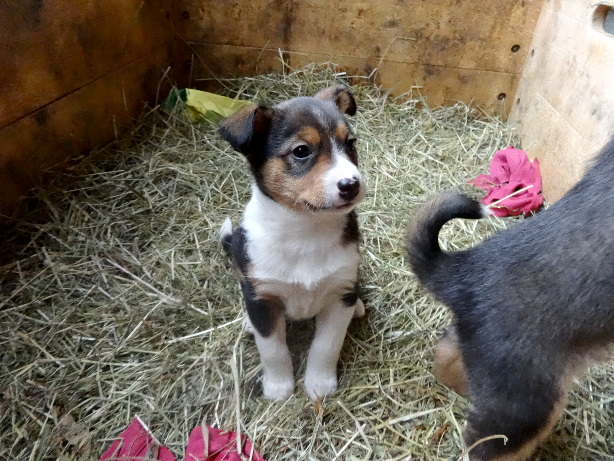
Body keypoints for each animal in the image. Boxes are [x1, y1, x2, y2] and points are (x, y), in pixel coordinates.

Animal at [218, 86, 366, 400]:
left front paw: (319, 384)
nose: (351, 184)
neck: (305, 231)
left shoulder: (340, 293)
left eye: (350, 144)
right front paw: (278, 387)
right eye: (301, 151)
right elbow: (273, 350)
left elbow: (326, 346)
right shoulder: (263, 297)